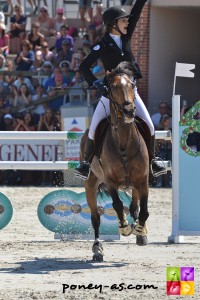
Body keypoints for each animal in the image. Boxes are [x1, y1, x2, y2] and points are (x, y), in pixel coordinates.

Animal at [79, 61, 149, 260]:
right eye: (112, 87)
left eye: (132, 85)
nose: (129, 110)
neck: (124, 143)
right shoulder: (110, 181)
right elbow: (117, 205)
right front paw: (124, 228)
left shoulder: (143, 179)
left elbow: (144, 210)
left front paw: (140, 230)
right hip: (91, 183)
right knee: (95, 217)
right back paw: (97, 248)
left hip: (134, 183)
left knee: (135, 206)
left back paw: (140, 232)